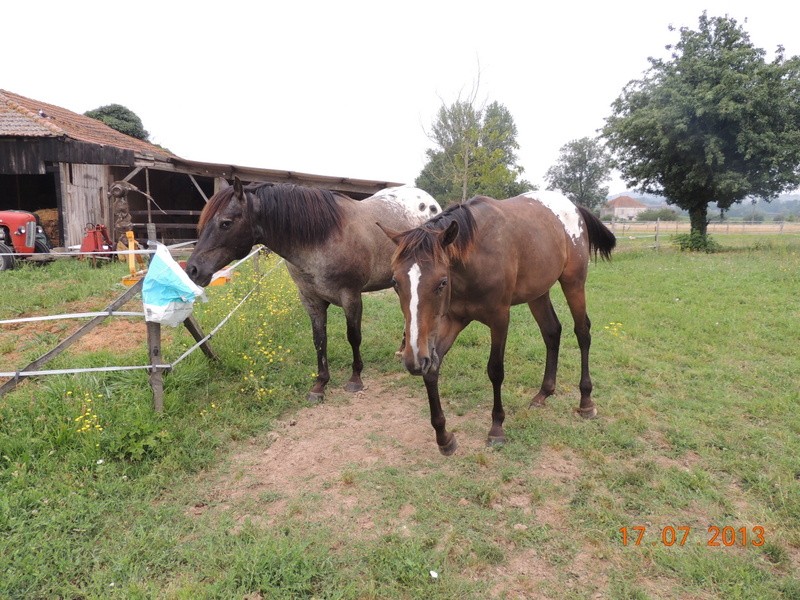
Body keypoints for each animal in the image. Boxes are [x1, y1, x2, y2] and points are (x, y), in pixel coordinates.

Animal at [378, 191, 616, 454]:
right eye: (395, 282)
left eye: (441, 282)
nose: (413, 360)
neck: (477, 258)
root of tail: (573, 206)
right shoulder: (452, 320)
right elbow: (432, 370)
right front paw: (444, 437)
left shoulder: (500, 319)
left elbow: (495, 370)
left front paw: (497, 428)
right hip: (538, 293)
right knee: (552, 332)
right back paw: (544, 393)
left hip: (573, 283)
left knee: (582, 332)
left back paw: (586, 402)